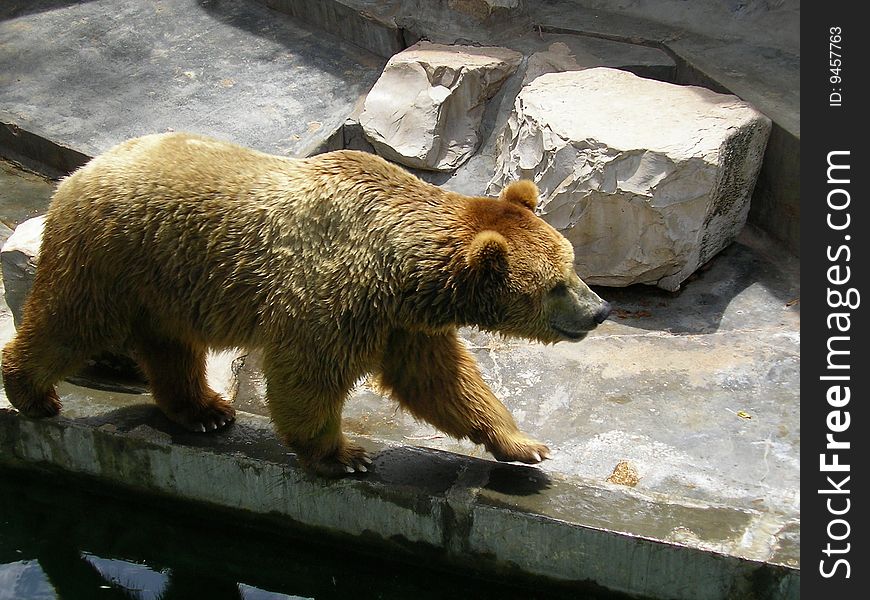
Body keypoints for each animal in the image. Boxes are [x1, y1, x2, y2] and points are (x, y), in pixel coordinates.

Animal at [1, 134, 612, 476]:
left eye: (571, 263)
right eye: (557, 284)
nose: (600, 310)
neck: (401, 267)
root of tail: (76, 173)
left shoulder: (404, 319)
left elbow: (442, 380)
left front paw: (525, 445)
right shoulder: (339, 294)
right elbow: (307, 371)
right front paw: (344, 455)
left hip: (164, 281)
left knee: (171, 346)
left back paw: (203, 411)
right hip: (114, 255)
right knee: (69, 322)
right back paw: (32, 392)